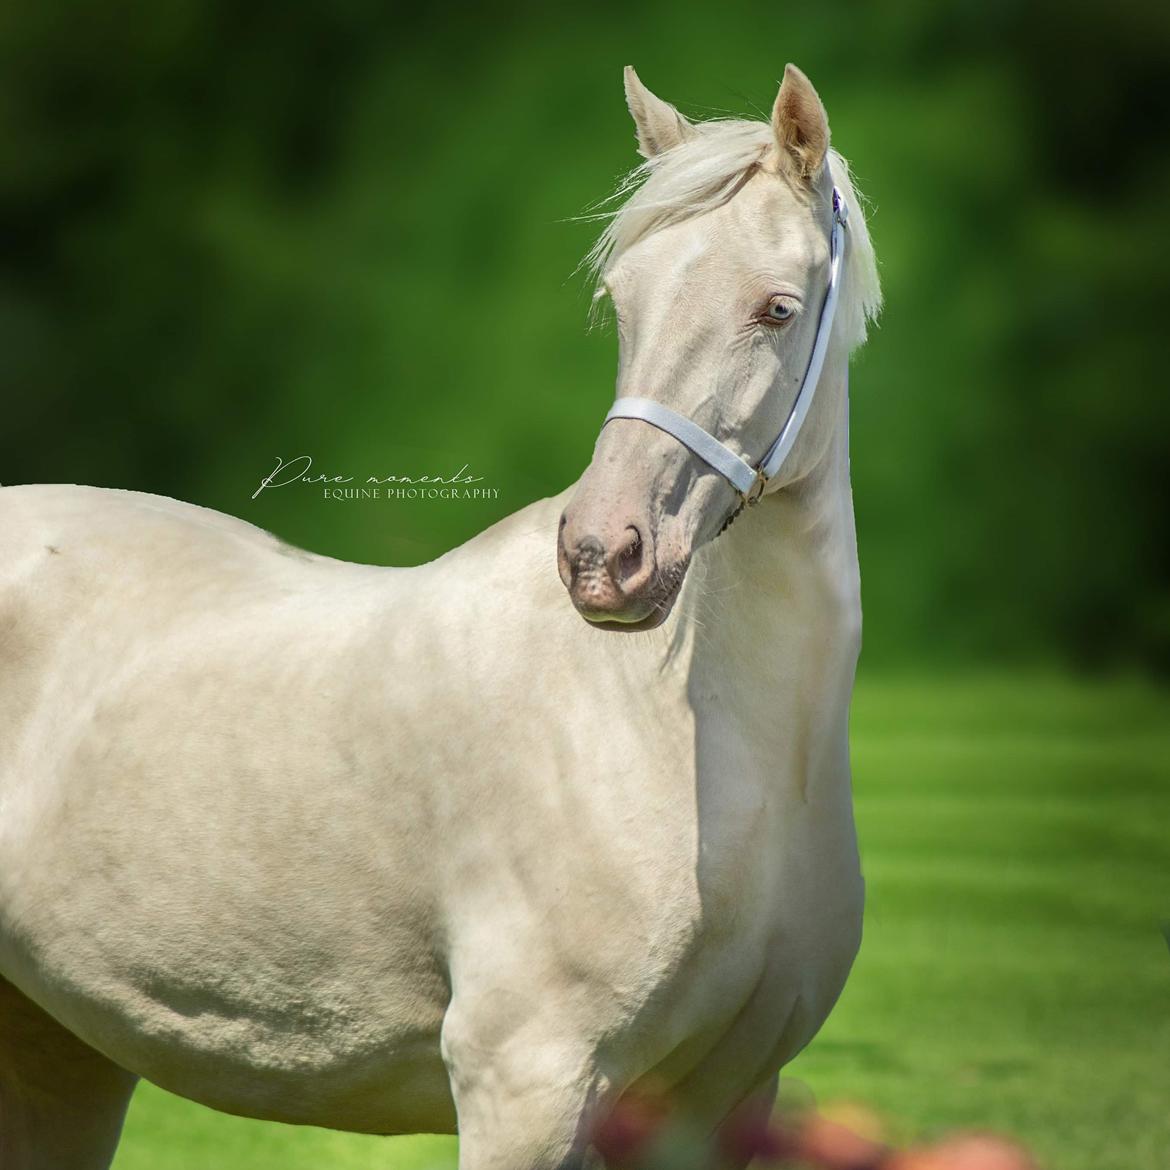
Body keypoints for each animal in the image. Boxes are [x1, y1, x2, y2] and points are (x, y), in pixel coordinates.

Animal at [0, 64, 879, 1170]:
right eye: (621, 301)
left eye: (777, 307)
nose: (602, 558)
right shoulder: (527, 1085)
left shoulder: (721, 1107)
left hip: (56, 1047)